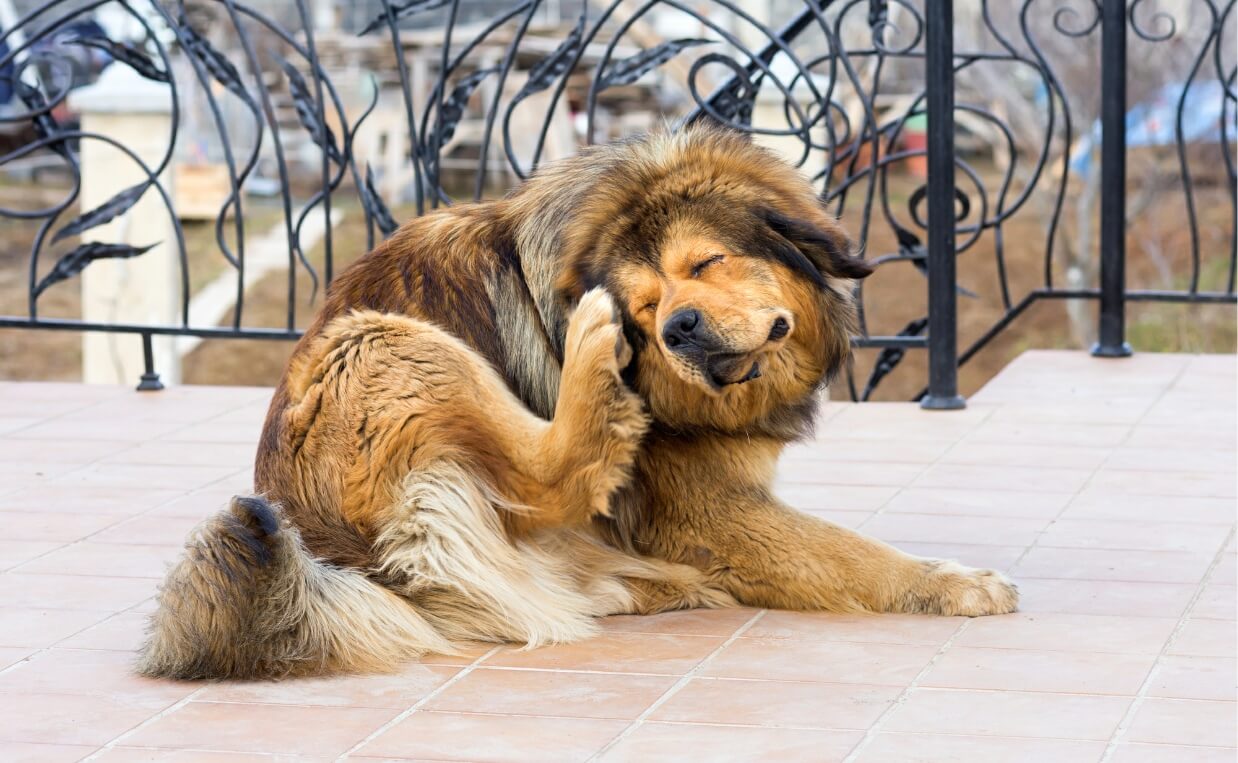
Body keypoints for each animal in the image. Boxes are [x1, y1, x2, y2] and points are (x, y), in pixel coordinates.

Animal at [140, 125, 1020, 678]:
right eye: (644, 305)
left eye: (705, 263)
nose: (677, 328)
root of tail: (328, 554)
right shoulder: (708, 508)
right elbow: (853, 553)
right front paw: (956, 583)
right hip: (382, 341)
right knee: (550, 476)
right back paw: (592, 369)